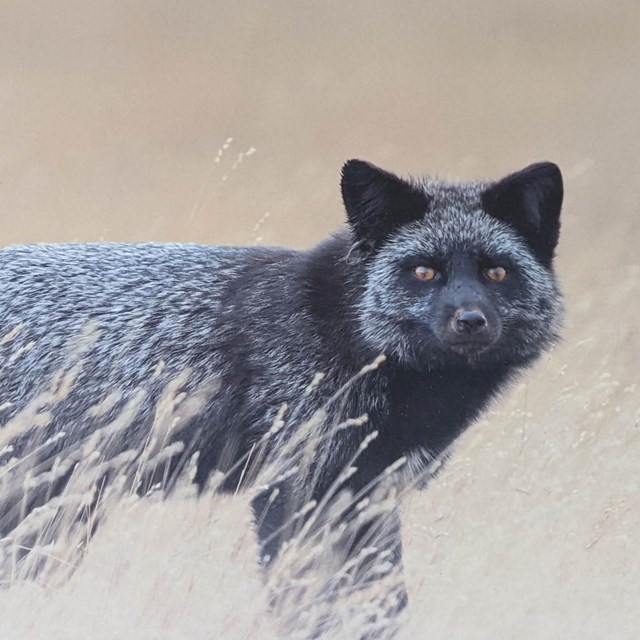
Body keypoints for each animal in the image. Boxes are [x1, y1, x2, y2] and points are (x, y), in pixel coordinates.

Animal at [0, 159, 564, 636]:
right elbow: (300, 605)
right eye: (424, 271)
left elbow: (388, 606)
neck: (339, 329)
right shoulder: (292, 490)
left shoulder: (368, 497)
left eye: (496, 272)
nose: (470, 320)